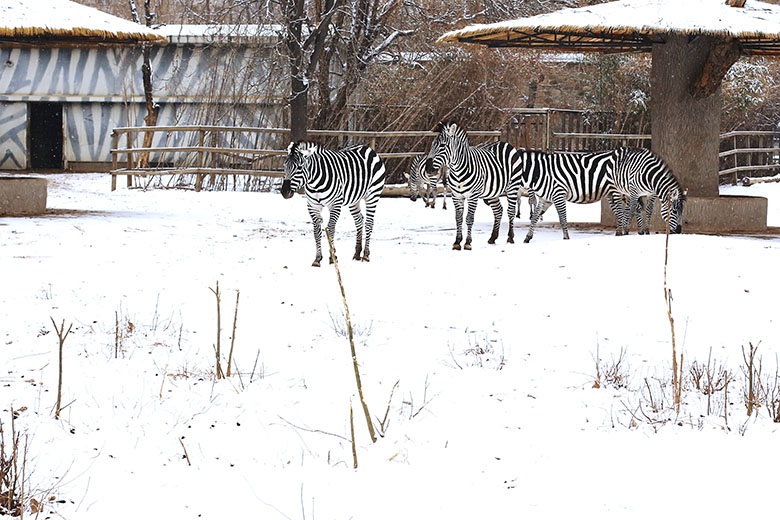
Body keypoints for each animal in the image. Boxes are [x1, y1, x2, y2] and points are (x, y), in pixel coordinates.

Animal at [424, 123, 528, 251]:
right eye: (433, 144)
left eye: (442, 145)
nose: (428, 168)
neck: (458, 171)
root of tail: (505, 143)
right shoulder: (456, 196)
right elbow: (458, 218)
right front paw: (457, 242)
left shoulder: (472, 196)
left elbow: (469, 218)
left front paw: (468, 243)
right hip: (492, 193)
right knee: (498, 210)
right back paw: (493, 238)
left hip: (512, 187)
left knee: (511, 211)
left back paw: (510, 238)